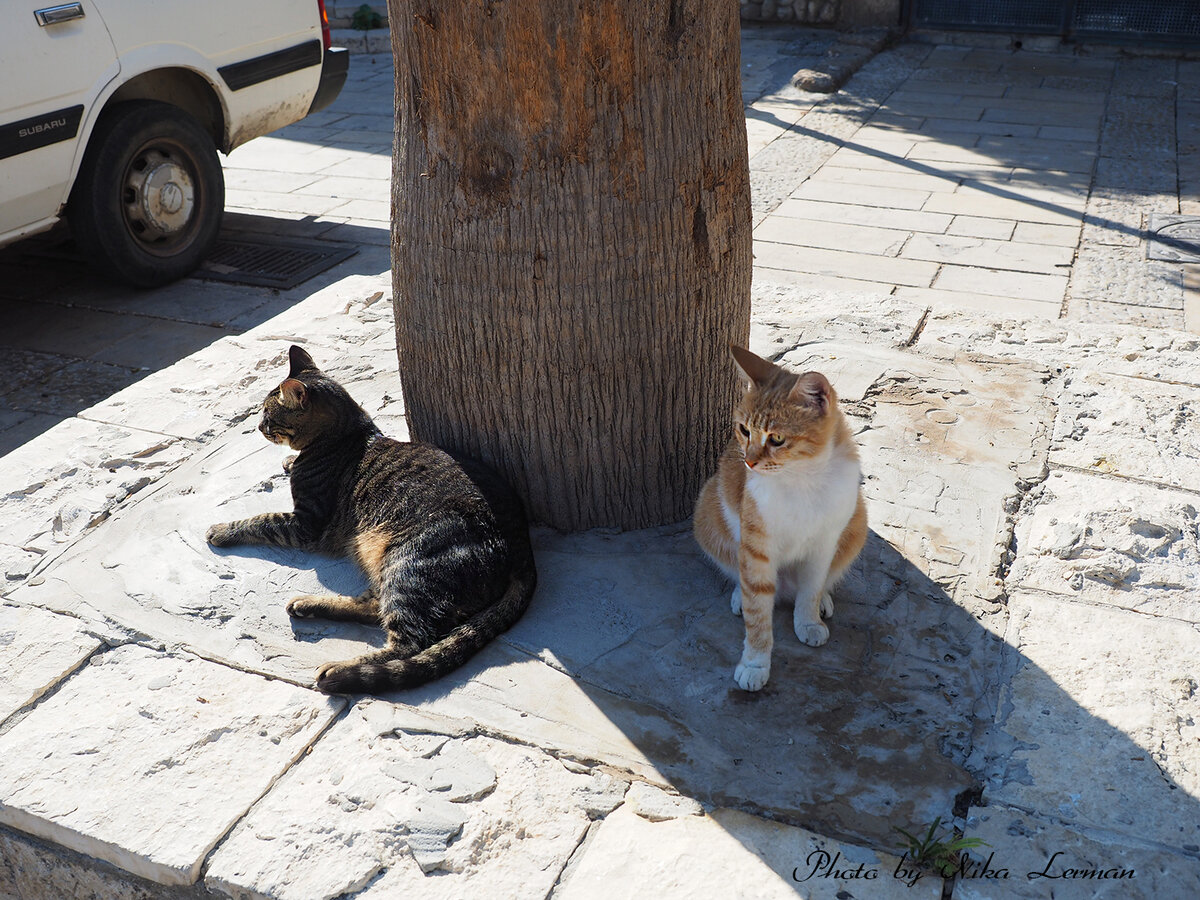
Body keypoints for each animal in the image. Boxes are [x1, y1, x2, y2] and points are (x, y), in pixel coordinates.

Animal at [206, 348, 535, 696]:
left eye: (268, 413)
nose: (258, 426)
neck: (347, 434)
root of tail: (523, 548)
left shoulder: (306, 523)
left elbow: (260, 519)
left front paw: (221, 529)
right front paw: (288, 461)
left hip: (406, 565)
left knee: (408, 645)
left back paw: (339, 669)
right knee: (374, 608)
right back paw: (307, 604)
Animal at [696, 345, 864, 691]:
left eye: (776, 439)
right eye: (744, 430)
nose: (748, 462)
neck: (803, 478)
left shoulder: (825, 544)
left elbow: (811, 589)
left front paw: (809, 620)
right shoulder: (757, 549)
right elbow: (758, 613)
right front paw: (755, 663)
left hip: (859, 523)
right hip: (707, 509)